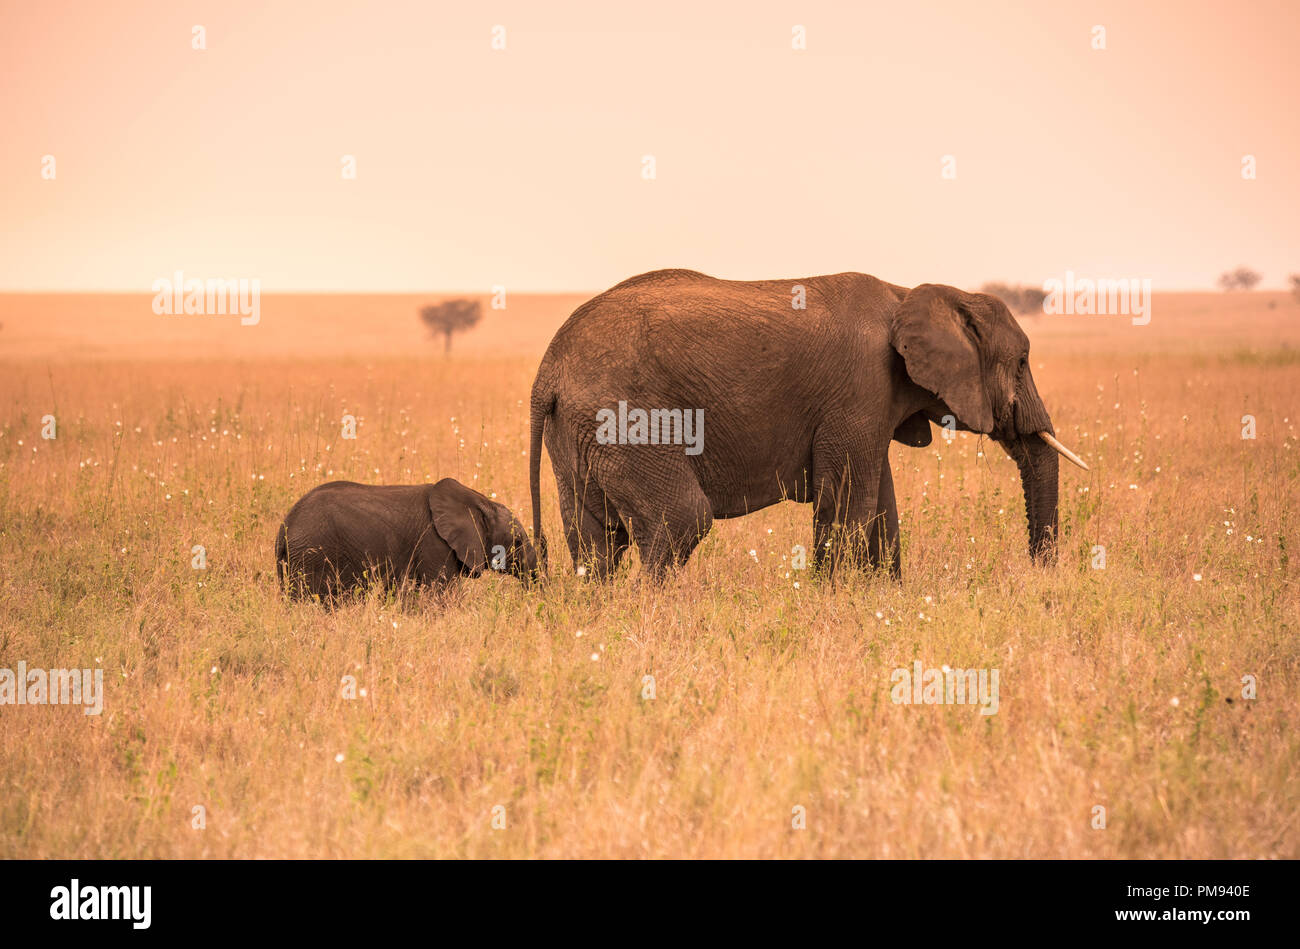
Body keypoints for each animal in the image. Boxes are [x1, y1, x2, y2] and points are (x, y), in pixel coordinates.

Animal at [276, 478, 539, 599]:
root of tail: (283, 527)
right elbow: (440, 595)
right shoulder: (434, 542)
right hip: (313, 555)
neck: (479, 501)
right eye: (517, 542)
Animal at [527, 269, 1087, 580]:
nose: (1038, 576)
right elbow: (848, 504)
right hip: (623, 419)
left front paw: (885, 599)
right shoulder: (860, 387)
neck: (912, 295)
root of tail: (546, 370)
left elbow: (880, 507)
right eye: (1021, 362)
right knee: (683, 519)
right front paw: (835, 599)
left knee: (595, 542)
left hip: (577, 432)